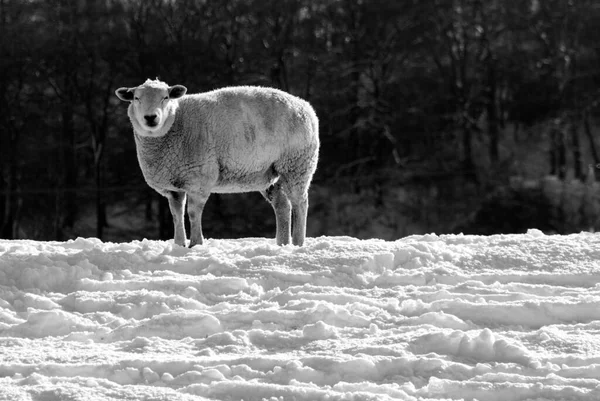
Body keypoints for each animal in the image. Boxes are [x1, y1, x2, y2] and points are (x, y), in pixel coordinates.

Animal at [113, 78, 318, 247]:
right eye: (136, 98)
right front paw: (179, 244)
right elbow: (176, 215)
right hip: (268, 172)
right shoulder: (173, 187)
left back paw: (298, 243)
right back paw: (282, 244)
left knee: (300, 203)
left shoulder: (199, 178)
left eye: (165, 97)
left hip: (297, 163)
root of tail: (306, 106)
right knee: (282, 205)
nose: (151, 118)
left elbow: (193, 213)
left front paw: (196, 244)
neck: (176, 124)